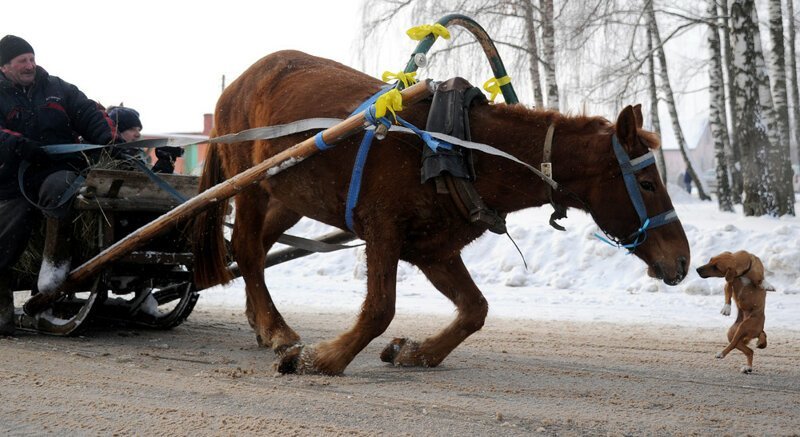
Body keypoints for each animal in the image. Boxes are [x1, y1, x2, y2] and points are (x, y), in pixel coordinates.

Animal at [192, 49, 688, 372]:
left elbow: (475, 309)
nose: (682, 260)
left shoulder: (434, 249)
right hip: (250, 185)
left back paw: (262, 322)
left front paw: (416, 352)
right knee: (248, 249)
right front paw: (322, 358)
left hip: (287, 197)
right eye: (647, 182)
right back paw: (277, 329)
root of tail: (239, 82)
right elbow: (379, 309)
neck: (458, 146)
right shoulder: (383, 229)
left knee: (255, 249)